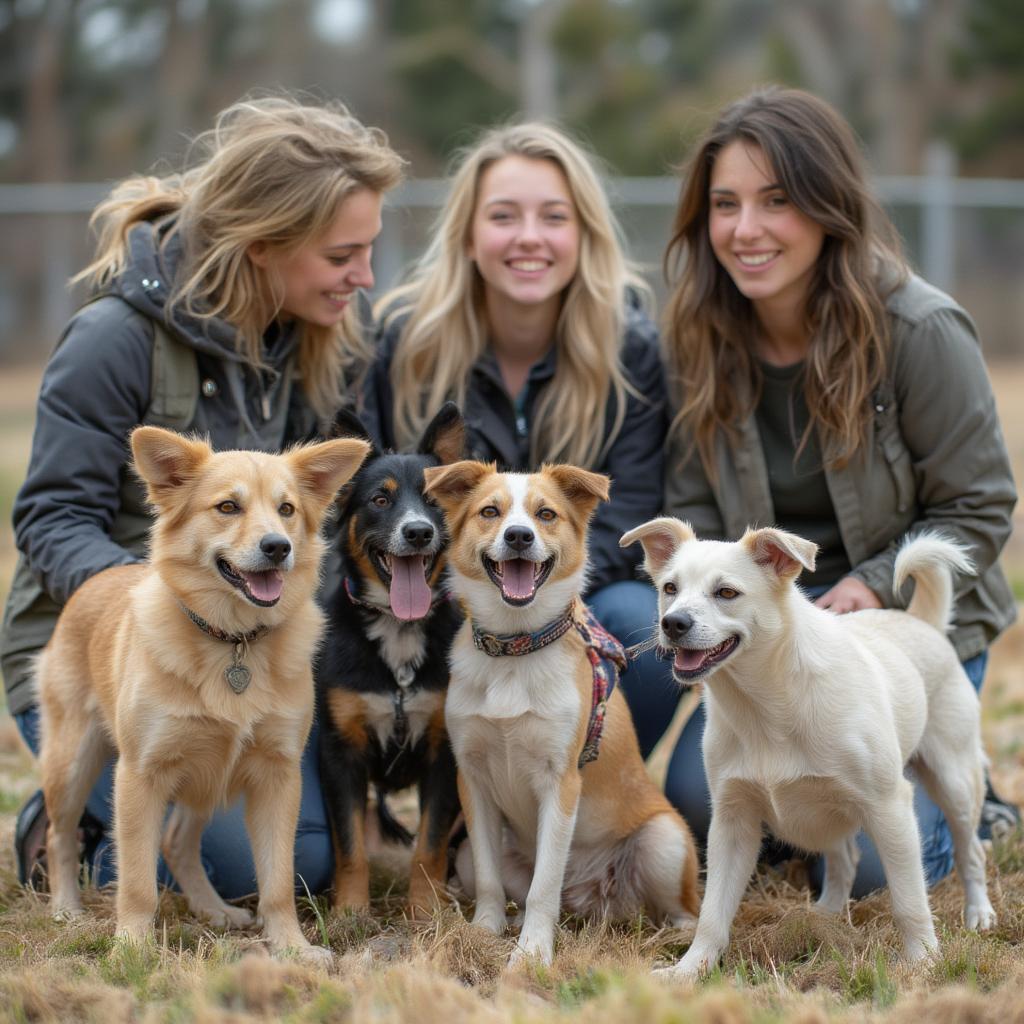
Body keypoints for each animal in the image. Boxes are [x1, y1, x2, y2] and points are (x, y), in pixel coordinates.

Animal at [37, 428, 370, 962]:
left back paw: (213, 909)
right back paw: (66, 907)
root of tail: (95, 581)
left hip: (206, 774)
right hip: (73, 762)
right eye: (228, 506)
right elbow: (137, 881)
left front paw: (292, 948)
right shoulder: (140, 775)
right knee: (59, 835)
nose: (278, 547)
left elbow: (278, 881)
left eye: (287, 509)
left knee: (177, 841)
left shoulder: (278, 776)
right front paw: (131, 948)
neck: (232, 640)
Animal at [317, 403, 466, 917]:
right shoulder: (340, 754)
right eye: (380, 500)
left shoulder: (446, 755)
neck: (400, 629)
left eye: (434, 500)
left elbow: (430, 844)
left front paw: (424, 910)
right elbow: (349, 845)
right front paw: (350, 912)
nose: (418, 531)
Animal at [419, 464, 700, 966]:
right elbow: (491, 879)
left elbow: (543, 886)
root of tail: (590, 898)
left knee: (682, 907)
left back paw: (674, 937)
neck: (515, 648)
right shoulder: (472, 780)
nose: (518, 536)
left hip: (664, 840)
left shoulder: (561, 781)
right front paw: (485, 932)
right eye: (489, 511)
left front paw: (532, 952)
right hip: (466, 852)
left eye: (546, 514)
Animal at [618, 520, 995, 974]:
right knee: (845, 860)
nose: (673, 623)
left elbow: (909, 900)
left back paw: (979, 913)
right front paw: (690, 970)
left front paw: (922, 961)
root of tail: (922, 622)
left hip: (954, 783)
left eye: (726, 592)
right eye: (670, 588)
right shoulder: (733, 820)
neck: (765, 702)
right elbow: (712, 913)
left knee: (970, 852)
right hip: (828, 808)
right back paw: (826, 918)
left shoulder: (889, 808)